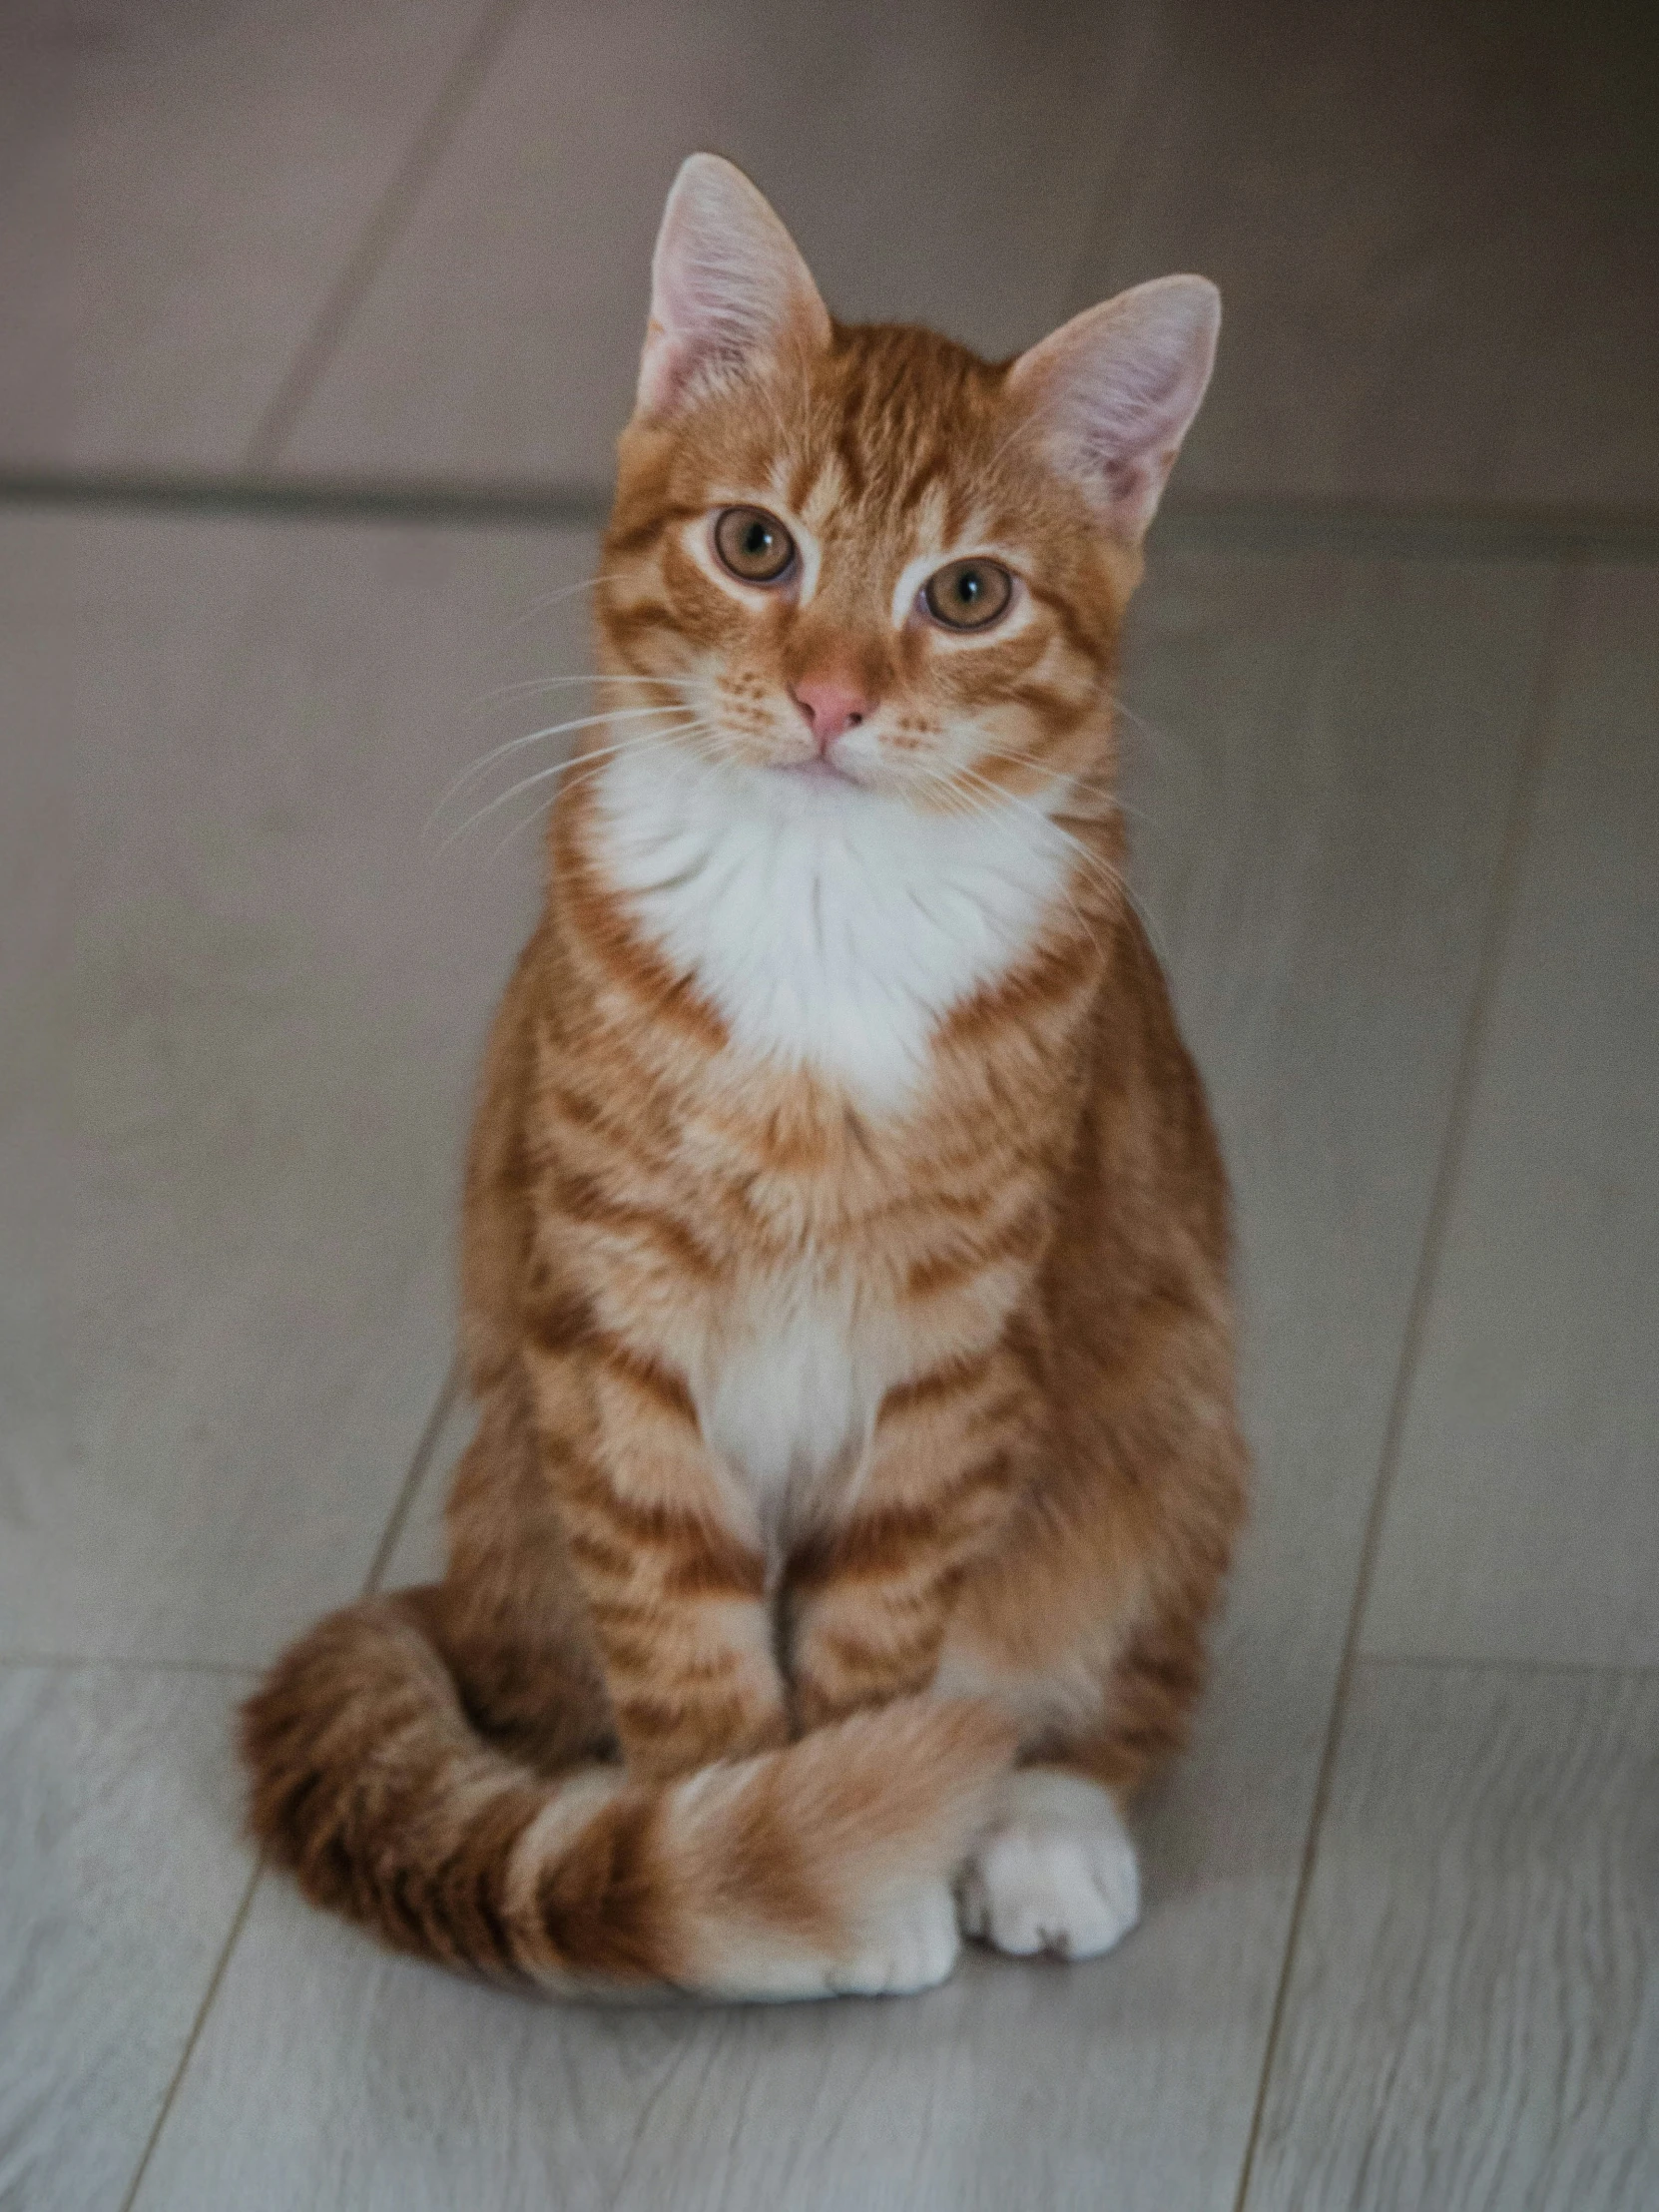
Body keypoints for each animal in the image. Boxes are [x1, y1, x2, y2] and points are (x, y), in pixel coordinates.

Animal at [243, 147, 1247, 1999]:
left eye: (968, 593)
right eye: (755, 545)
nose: (832, 695)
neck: (819, 909)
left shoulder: (952, 1357)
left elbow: (881, 1623)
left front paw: (865, 1825)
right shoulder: (613, 1333)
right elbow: (684, 1633)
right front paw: (751, 1845)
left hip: (1167, 1424)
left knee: (1115, 1683)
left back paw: (1042, 1826)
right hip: (518, 1483)